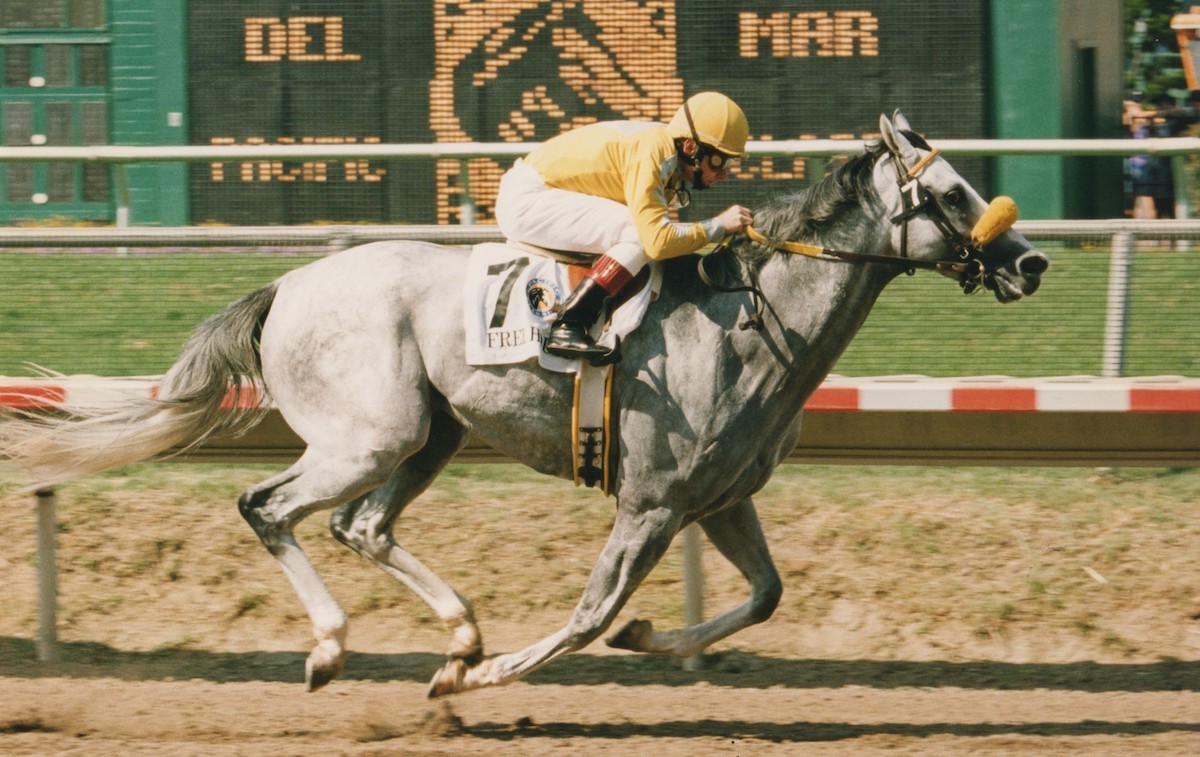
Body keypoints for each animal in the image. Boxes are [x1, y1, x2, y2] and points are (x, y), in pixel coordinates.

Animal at [0, 113, 1046, 700]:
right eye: (953, 191)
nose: (1031, 260)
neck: (753, 321)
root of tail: (286, 286)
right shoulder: (653, 500)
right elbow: (588, 612)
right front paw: (496, 674)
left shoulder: (717, 497)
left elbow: (764, 594)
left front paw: (646, 637)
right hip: (368, 434)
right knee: (271, 507)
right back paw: (339, 647)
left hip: (429, 433)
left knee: (360, 526)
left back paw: (458, 630)